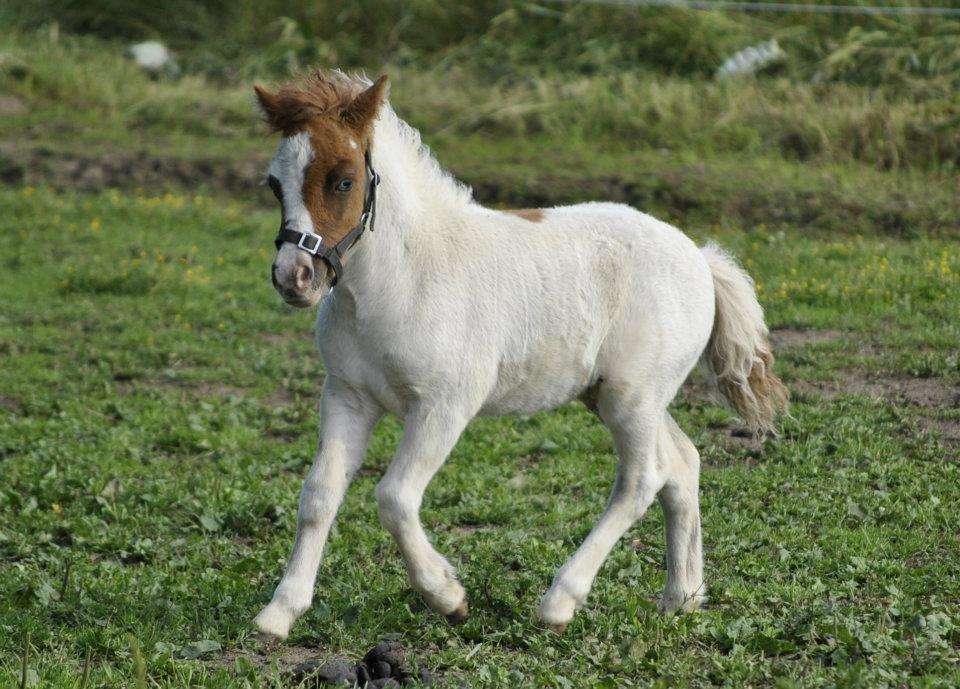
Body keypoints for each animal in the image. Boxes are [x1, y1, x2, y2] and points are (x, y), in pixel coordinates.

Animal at [249, 71, 788, 640]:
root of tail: (702, 259)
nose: (294, 279)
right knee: (683, 464)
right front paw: (279, 612)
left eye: (344, 181)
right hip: (618, 396)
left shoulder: (444, 406)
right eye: (275, 184)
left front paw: (448, 597)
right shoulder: (348, 397)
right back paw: (681, 597)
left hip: (632, 399)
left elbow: (393, 497)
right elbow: (319, 495)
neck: (401, 279)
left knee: (643, 479)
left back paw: (559, 602)